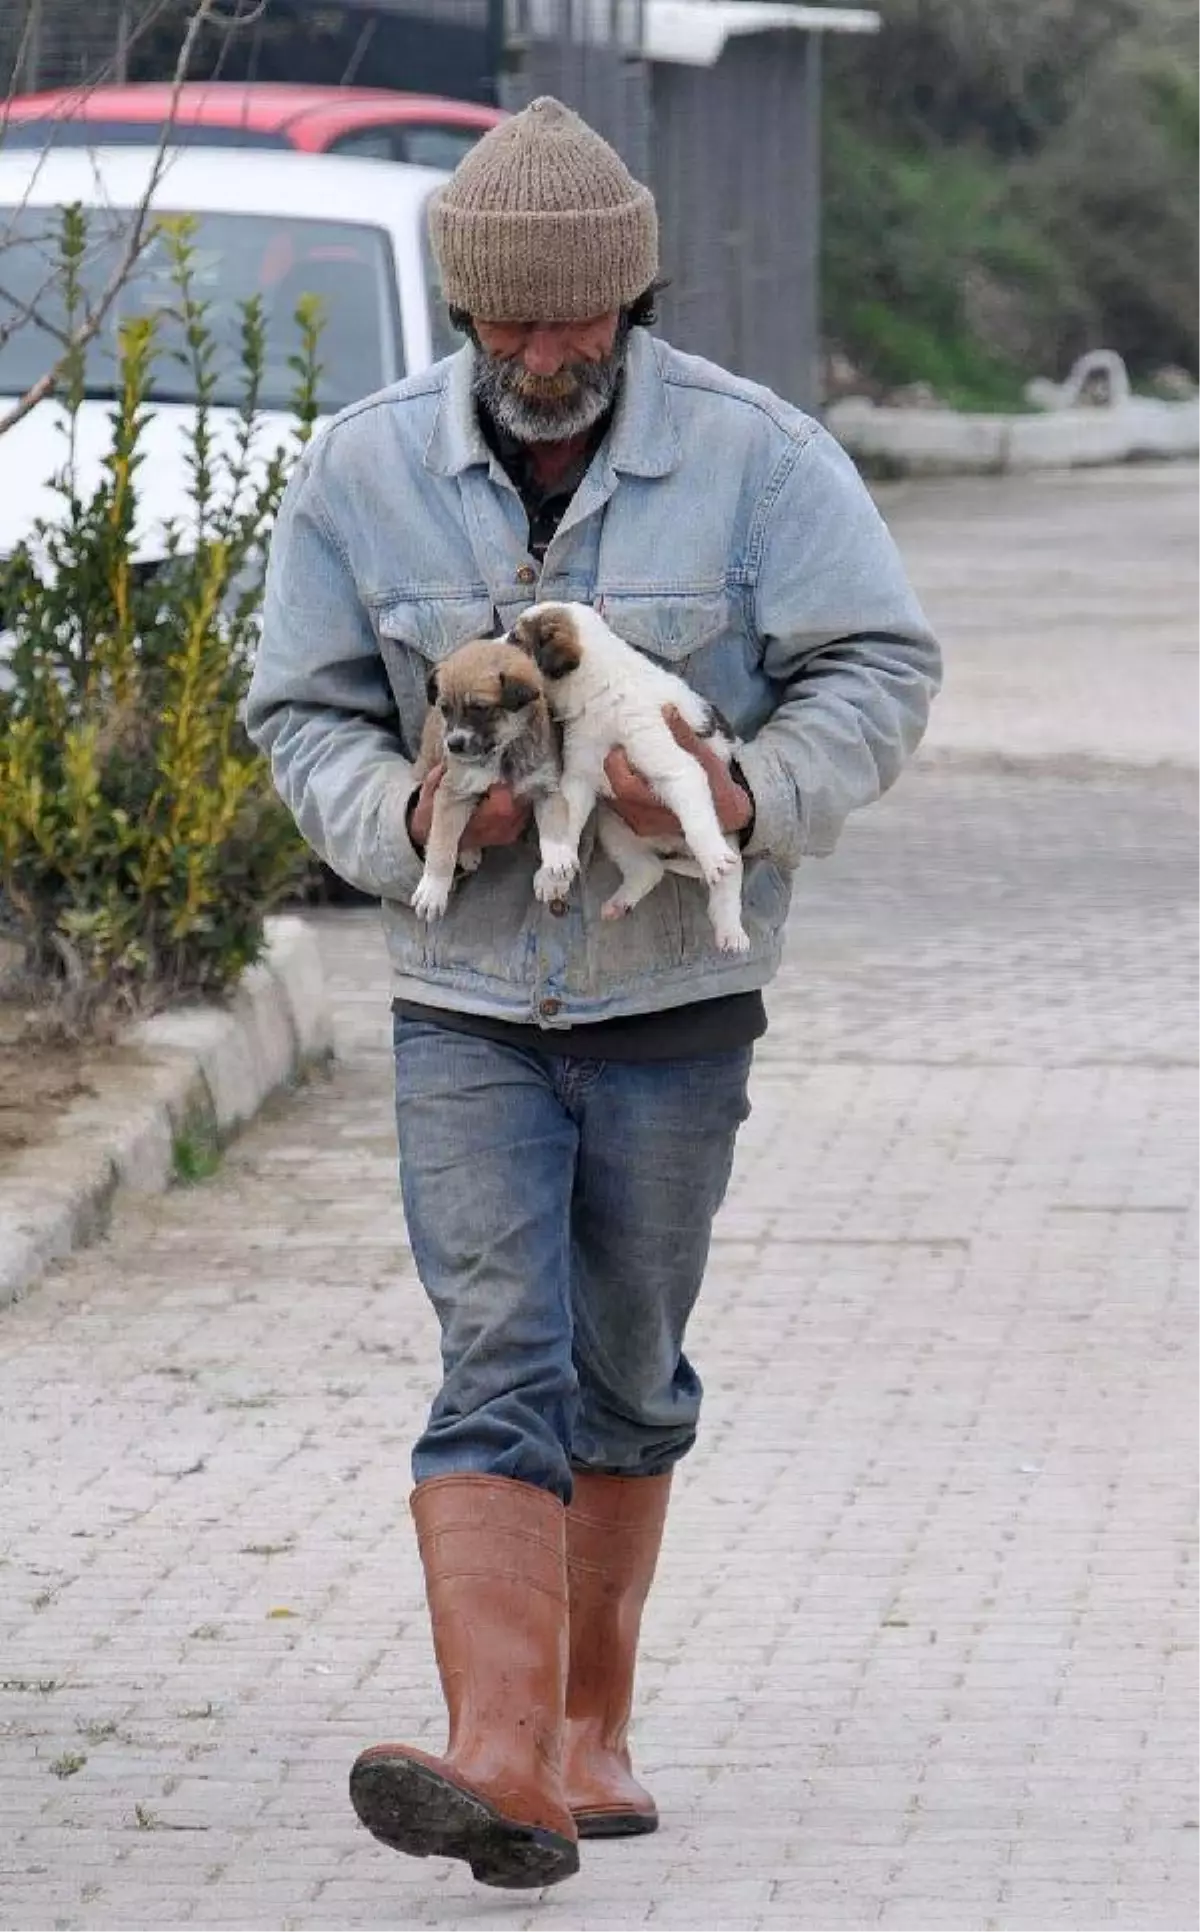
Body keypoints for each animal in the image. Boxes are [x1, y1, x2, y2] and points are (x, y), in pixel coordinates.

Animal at [409, 637, 568, 923]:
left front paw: (558, 858)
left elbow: (554, 825)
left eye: (480, 709)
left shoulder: (546, 786)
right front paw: (432, 889)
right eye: (445, 709)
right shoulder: (452, 793)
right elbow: (442, 841)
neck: (502, 752)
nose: (453, 745)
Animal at [506, 598, 749, 954]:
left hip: (729, 834)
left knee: (728, 885)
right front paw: (553, 871)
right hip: (615, 830)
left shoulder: (678, 769)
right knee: (649, 869)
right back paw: (620, 903)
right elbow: (565, 824)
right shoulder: (579, 778)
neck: (601, 694)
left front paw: (712, 855)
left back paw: (731, 931)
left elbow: (697, 821)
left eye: (516, 640)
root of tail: (669, 847)